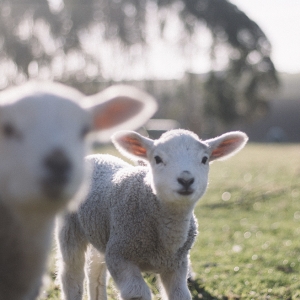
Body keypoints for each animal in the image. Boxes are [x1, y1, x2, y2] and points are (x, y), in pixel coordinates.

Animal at [57, 127, 247, 298]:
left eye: (205, 159)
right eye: (157, 159)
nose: (186, 180)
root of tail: (95, 156)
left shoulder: (177, 265)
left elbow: (180, 295)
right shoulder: (119, 256)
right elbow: (137, 293)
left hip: (101, 232)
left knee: (95, 272)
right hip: (70, 229)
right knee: (71, 275)